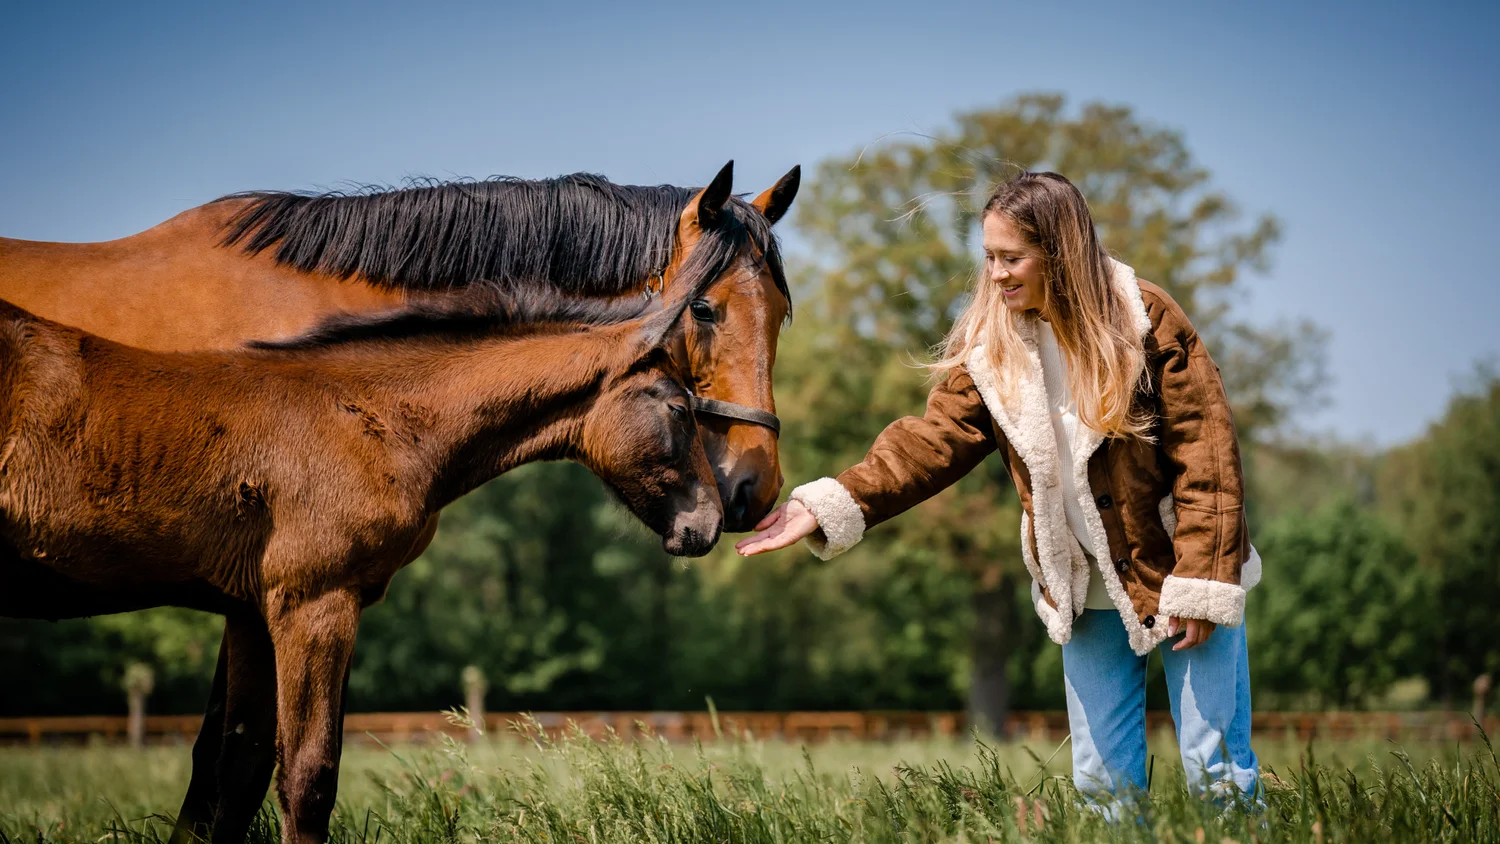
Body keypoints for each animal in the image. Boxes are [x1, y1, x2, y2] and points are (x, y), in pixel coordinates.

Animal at [0, 161, 796, 837]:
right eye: (705, 311)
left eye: (783, 312)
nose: (739, 501)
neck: (352, 405)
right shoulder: (309, 604)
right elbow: (299, 778)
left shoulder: (252, 609)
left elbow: (234, 771)